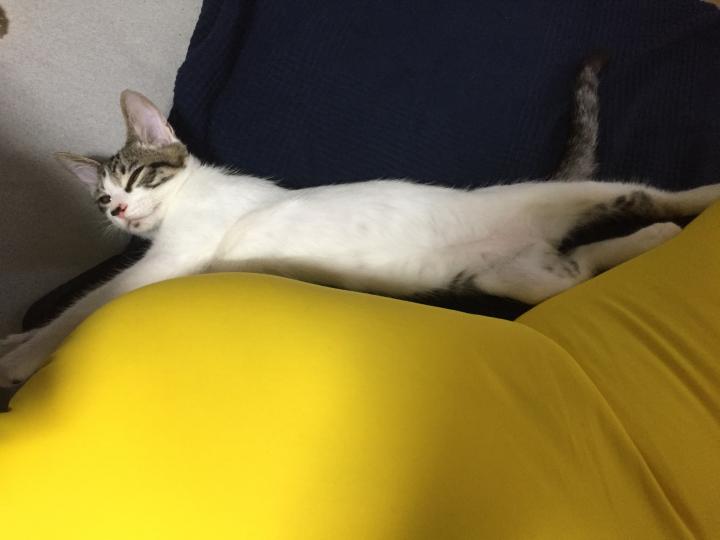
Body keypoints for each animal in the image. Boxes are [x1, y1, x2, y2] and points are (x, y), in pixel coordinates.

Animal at [2, 55, 720, 405]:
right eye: (102, 197)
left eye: (138, 177)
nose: (120, 214)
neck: (187, 198)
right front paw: (20, 337)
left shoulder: (175, 256)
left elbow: (86, 307)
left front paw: (22, 354)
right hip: (512, 276)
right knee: (582, 267)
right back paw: (651, 241)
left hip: (566, 201)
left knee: (644, 192)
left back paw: (703, 197)